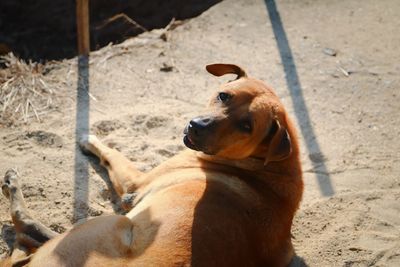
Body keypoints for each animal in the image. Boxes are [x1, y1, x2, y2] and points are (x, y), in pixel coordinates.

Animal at [0, 63, 304, 266]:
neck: (263, 164)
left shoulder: (135, 184)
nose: (196, 126)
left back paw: (13, 187)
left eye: (246, 126)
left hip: (105, 224)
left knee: (24, 226)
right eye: (224, 95)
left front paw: (89, 139)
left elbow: (113, 153)